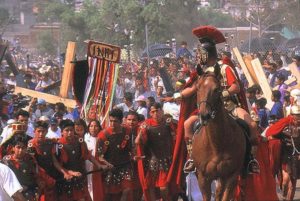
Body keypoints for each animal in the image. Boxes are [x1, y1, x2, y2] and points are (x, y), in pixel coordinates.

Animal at [193, 72, 247, 201]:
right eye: (197, 88)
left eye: (217, 89)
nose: (205, 115)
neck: (216, 145)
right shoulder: (203, 178)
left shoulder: (231, 175)